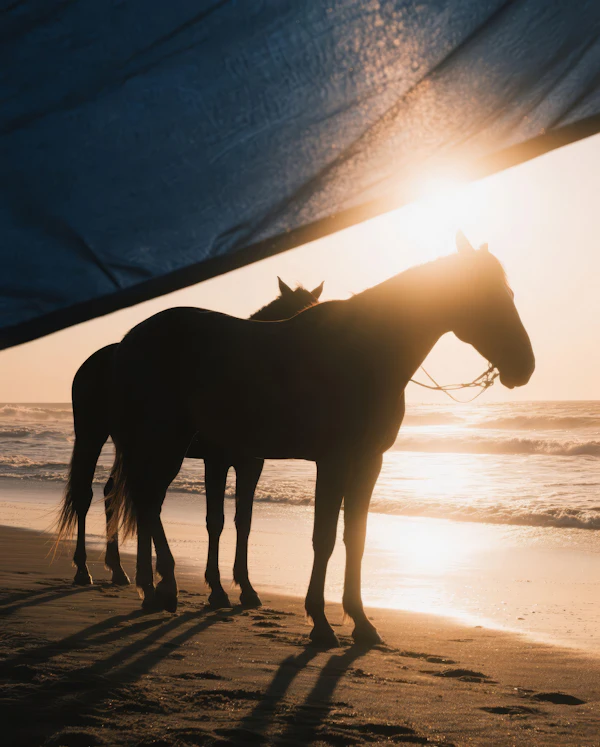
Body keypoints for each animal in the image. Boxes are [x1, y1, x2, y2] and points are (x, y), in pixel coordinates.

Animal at [57, 277, 324, 608]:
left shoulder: (251, 464)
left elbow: (244, 521)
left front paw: (247, 588)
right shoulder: (216, 461)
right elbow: (215, 520)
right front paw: (217, 589)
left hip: (134, 446)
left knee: (120, 494)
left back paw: (121, 571)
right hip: (95, 436)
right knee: (91, 495)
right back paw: (87, 569)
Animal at [107, 233, 534, 647]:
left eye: (509, 293)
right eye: (484, 293)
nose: (525, 366)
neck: (366, 353)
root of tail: (128, 341)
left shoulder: (367, 461)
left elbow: (354, 537)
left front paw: (361, 621)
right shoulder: (330, 461)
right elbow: (322, 538)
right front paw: (320, 621)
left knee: (145, 504)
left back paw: (152, 588)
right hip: (165, 444)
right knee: (148, 503)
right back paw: (165, 585)